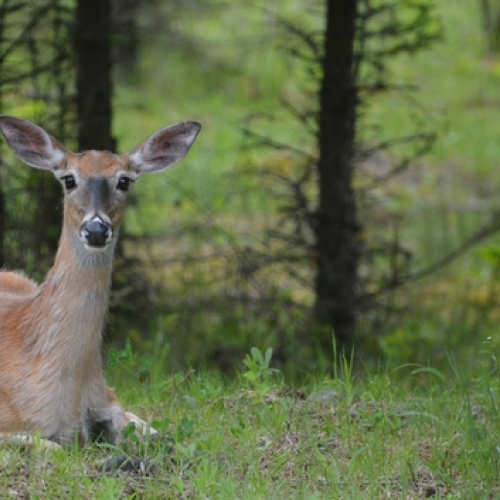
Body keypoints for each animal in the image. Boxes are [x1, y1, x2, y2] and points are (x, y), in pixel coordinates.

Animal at [0, 116, 201, 448]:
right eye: (68, 179)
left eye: (124, 181)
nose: (96, 230)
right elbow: (51, 447)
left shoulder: (108, 398)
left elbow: (159, 436)